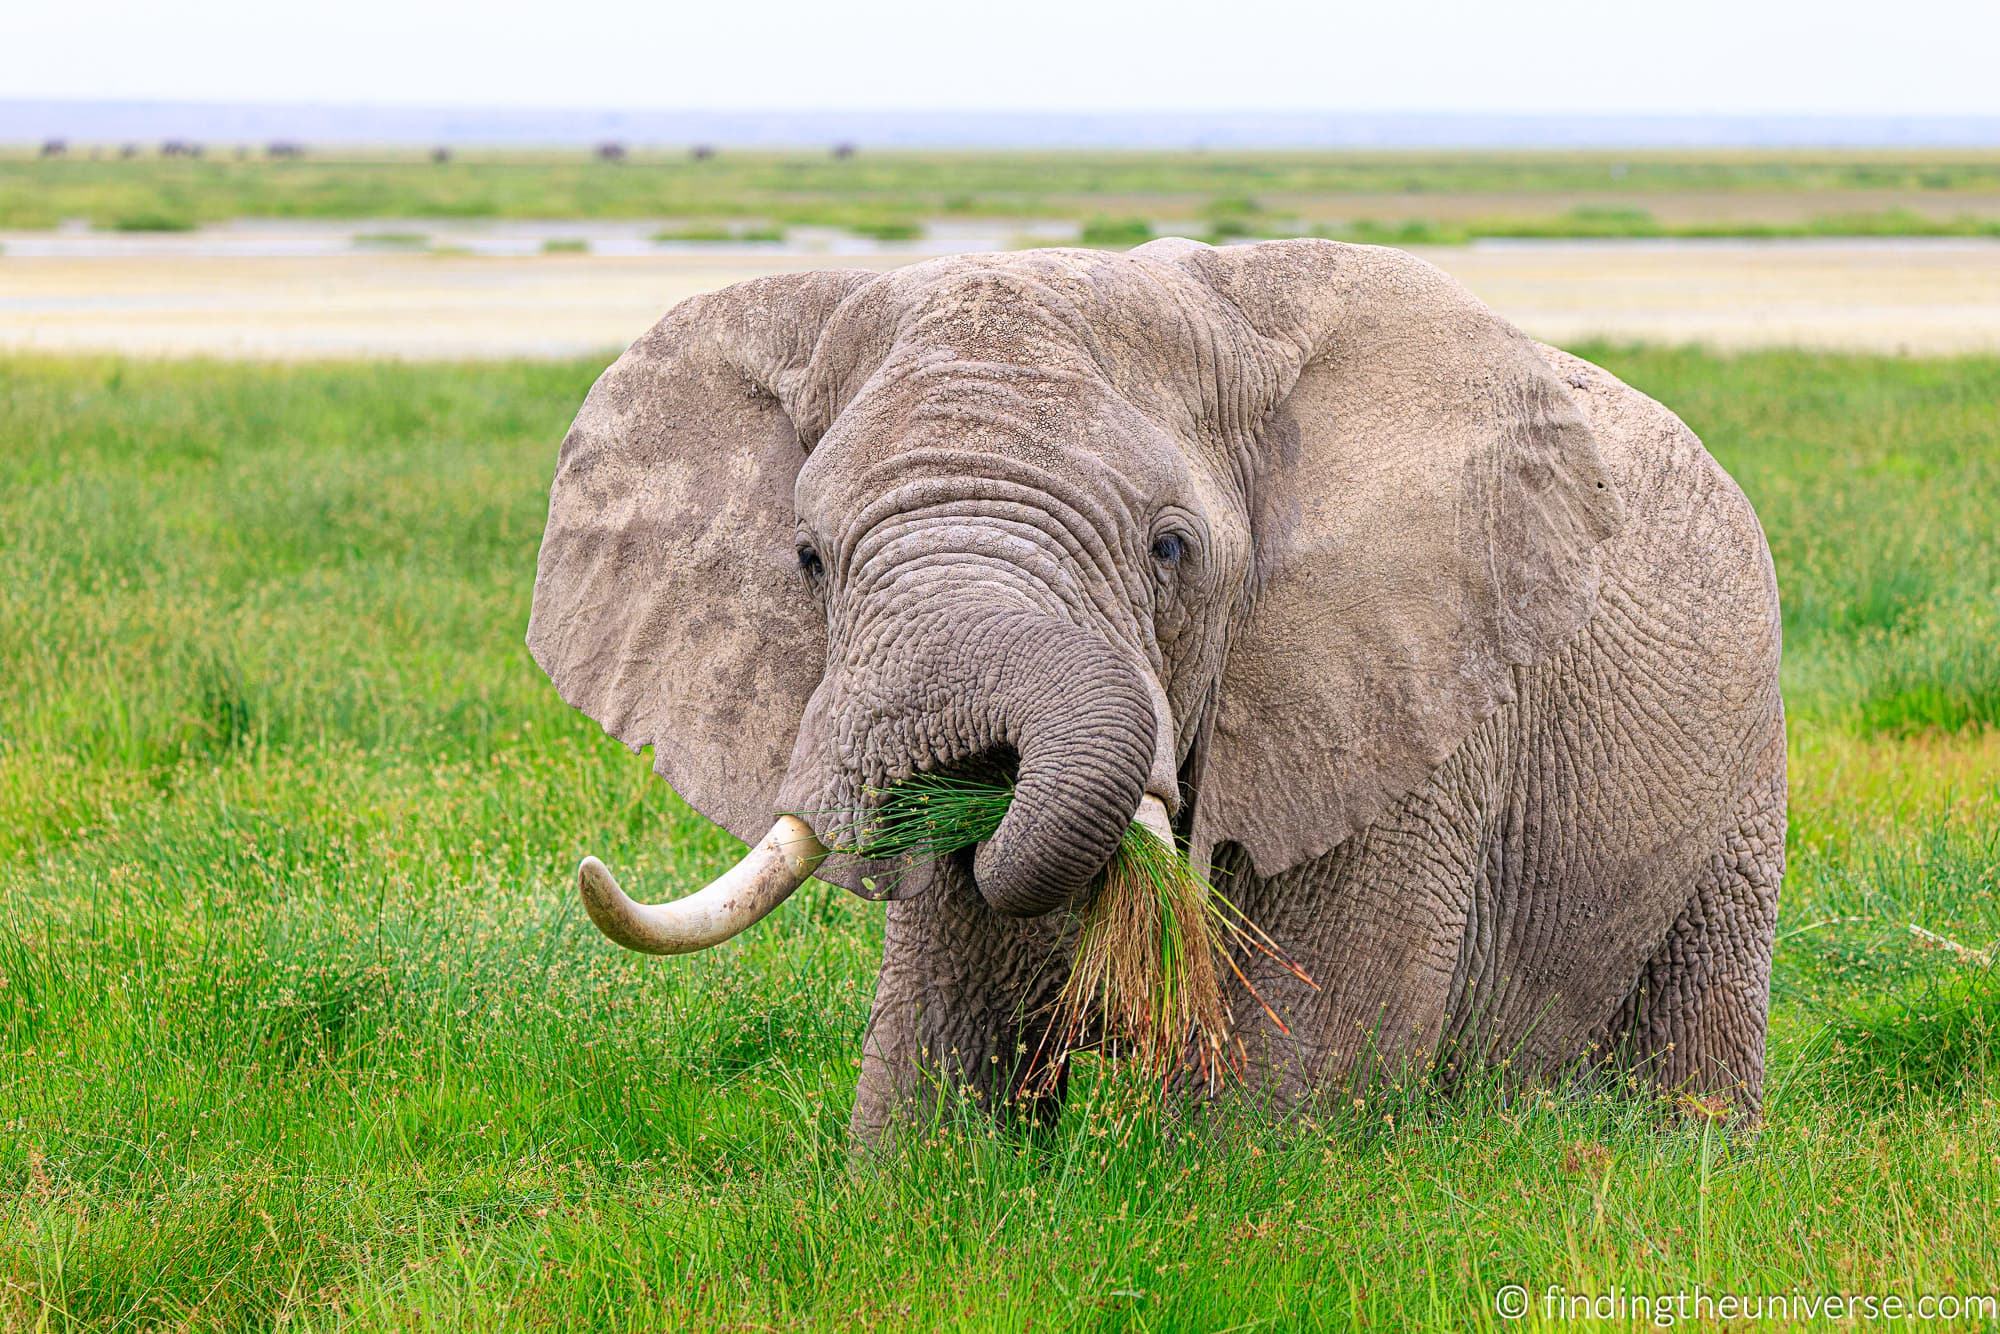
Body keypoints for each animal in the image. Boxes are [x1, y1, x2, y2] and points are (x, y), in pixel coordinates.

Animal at [528, 237, 1784, 1136]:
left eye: (1169, 548)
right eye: (807, 558)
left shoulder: (1396, 712)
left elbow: (1298, 1067)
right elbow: (939, 1041)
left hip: (1745, 742)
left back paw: (1690, 1150)